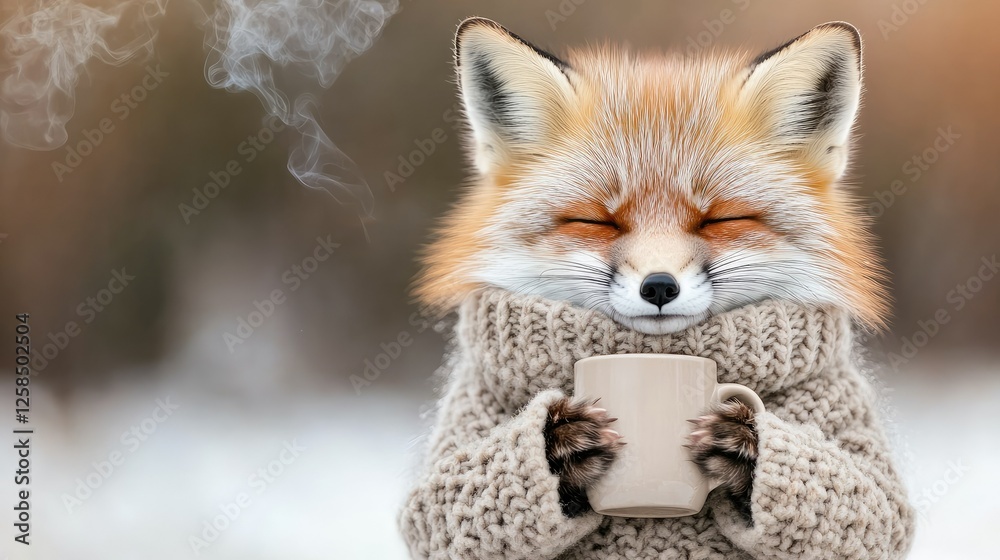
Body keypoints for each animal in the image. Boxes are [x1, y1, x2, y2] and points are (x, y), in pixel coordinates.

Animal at [409, 16, 897, 554]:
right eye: (595, 222)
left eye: (720, 219)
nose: (659, 287)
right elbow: (436, 510)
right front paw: (562, 442)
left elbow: (874, 508)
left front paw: (741, 441)